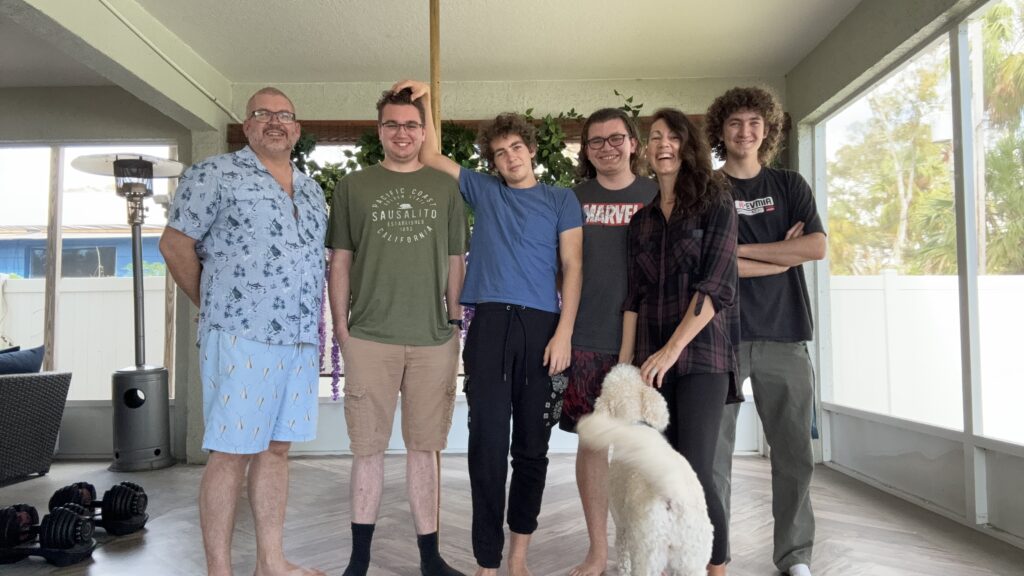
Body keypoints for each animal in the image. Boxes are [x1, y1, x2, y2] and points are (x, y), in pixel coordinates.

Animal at [576, 364, 713, 576]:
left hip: (648, 551)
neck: (635, 425)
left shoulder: (622, 523)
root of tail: (673, 495)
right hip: (692, 557)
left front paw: (623, 569)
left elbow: (623, 555)